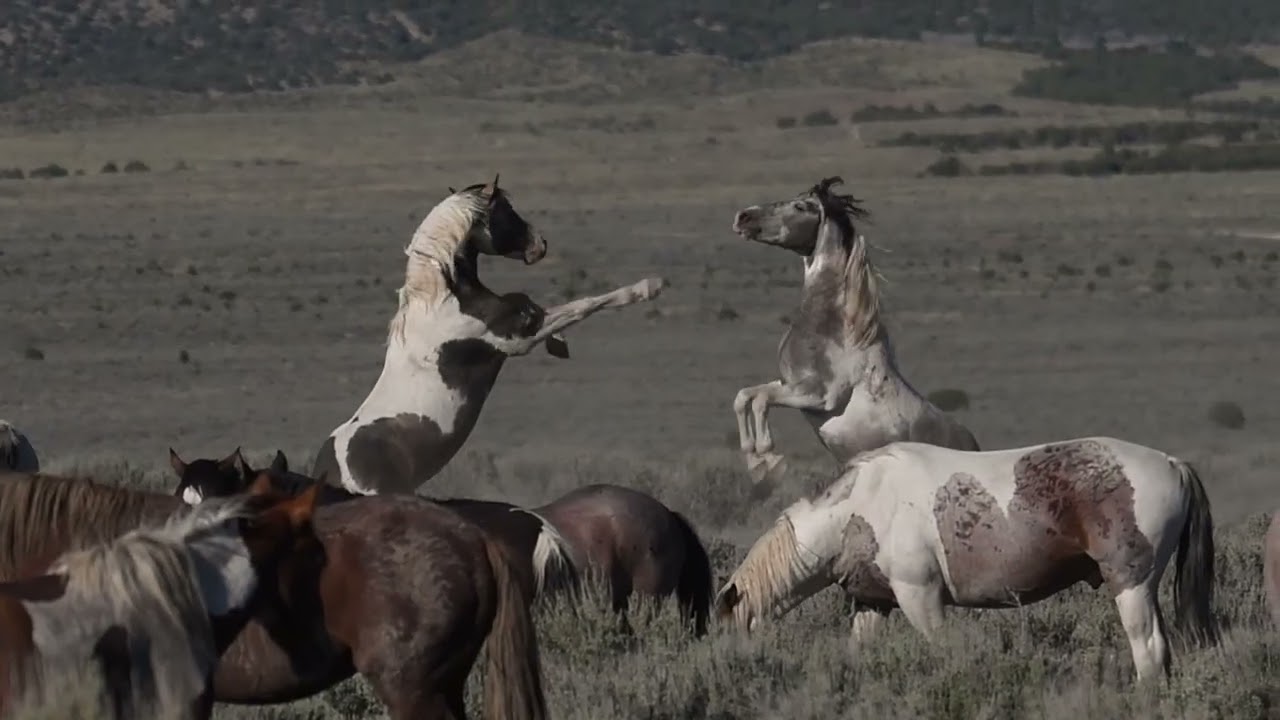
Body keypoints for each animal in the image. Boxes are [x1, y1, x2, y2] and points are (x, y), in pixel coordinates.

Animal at [311, 177, 666, 495]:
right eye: (507, 212)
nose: (540, 245)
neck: (445, 301)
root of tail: (329, 475)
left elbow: (533, 303)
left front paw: (559, 345)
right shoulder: (517, 339)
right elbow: (583, 305)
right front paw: (648, 286)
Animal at [714, 437, 1217, 683]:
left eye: (734, 629)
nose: (740, 667)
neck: (860, 507)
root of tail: (1172, 464)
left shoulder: (920, 598)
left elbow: (943, 651)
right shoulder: (873, 605)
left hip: (1131, 586)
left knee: (1148, 651)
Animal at [729, 176, 980, 482]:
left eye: (801, 206)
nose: (743, 216)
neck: (836, 330)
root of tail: (975, 447)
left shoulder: (816, 395)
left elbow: (762, 400)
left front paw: (769, 460)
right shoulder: (788, 383)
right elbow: (745, 396)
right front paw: (753, 460)